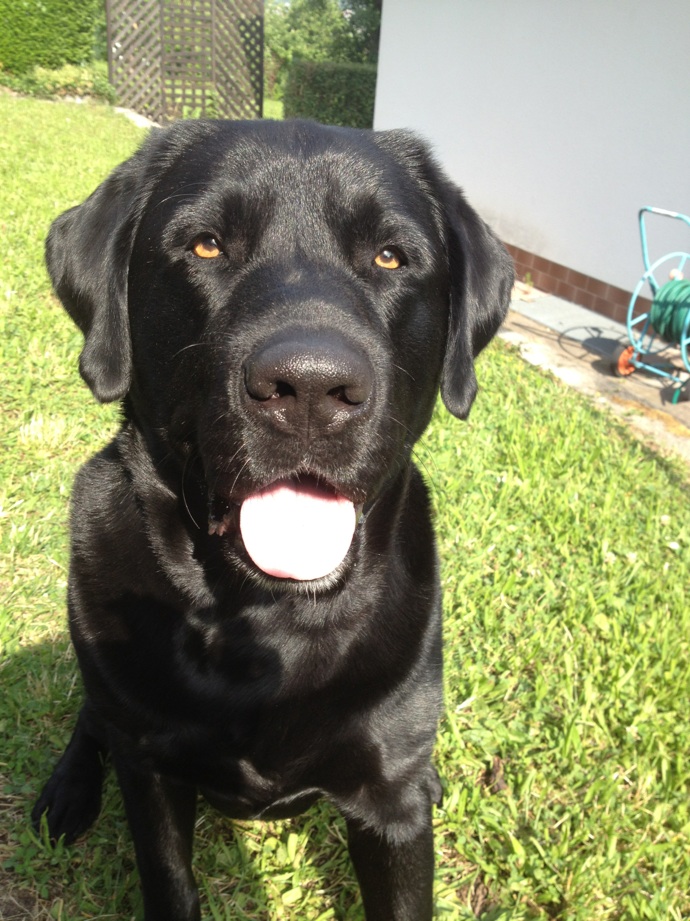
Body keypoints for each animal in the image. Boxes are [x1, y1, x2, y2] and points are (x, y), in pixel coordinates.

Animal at [32, 119, 513, 920]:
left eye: (391, 255)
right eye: (205, 246)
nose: (311, 388)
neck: (269, 618)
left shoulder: (390, 804)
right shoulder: (151, 772)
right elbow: (168, 880)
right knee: (91, 722)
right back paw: (66, 792)